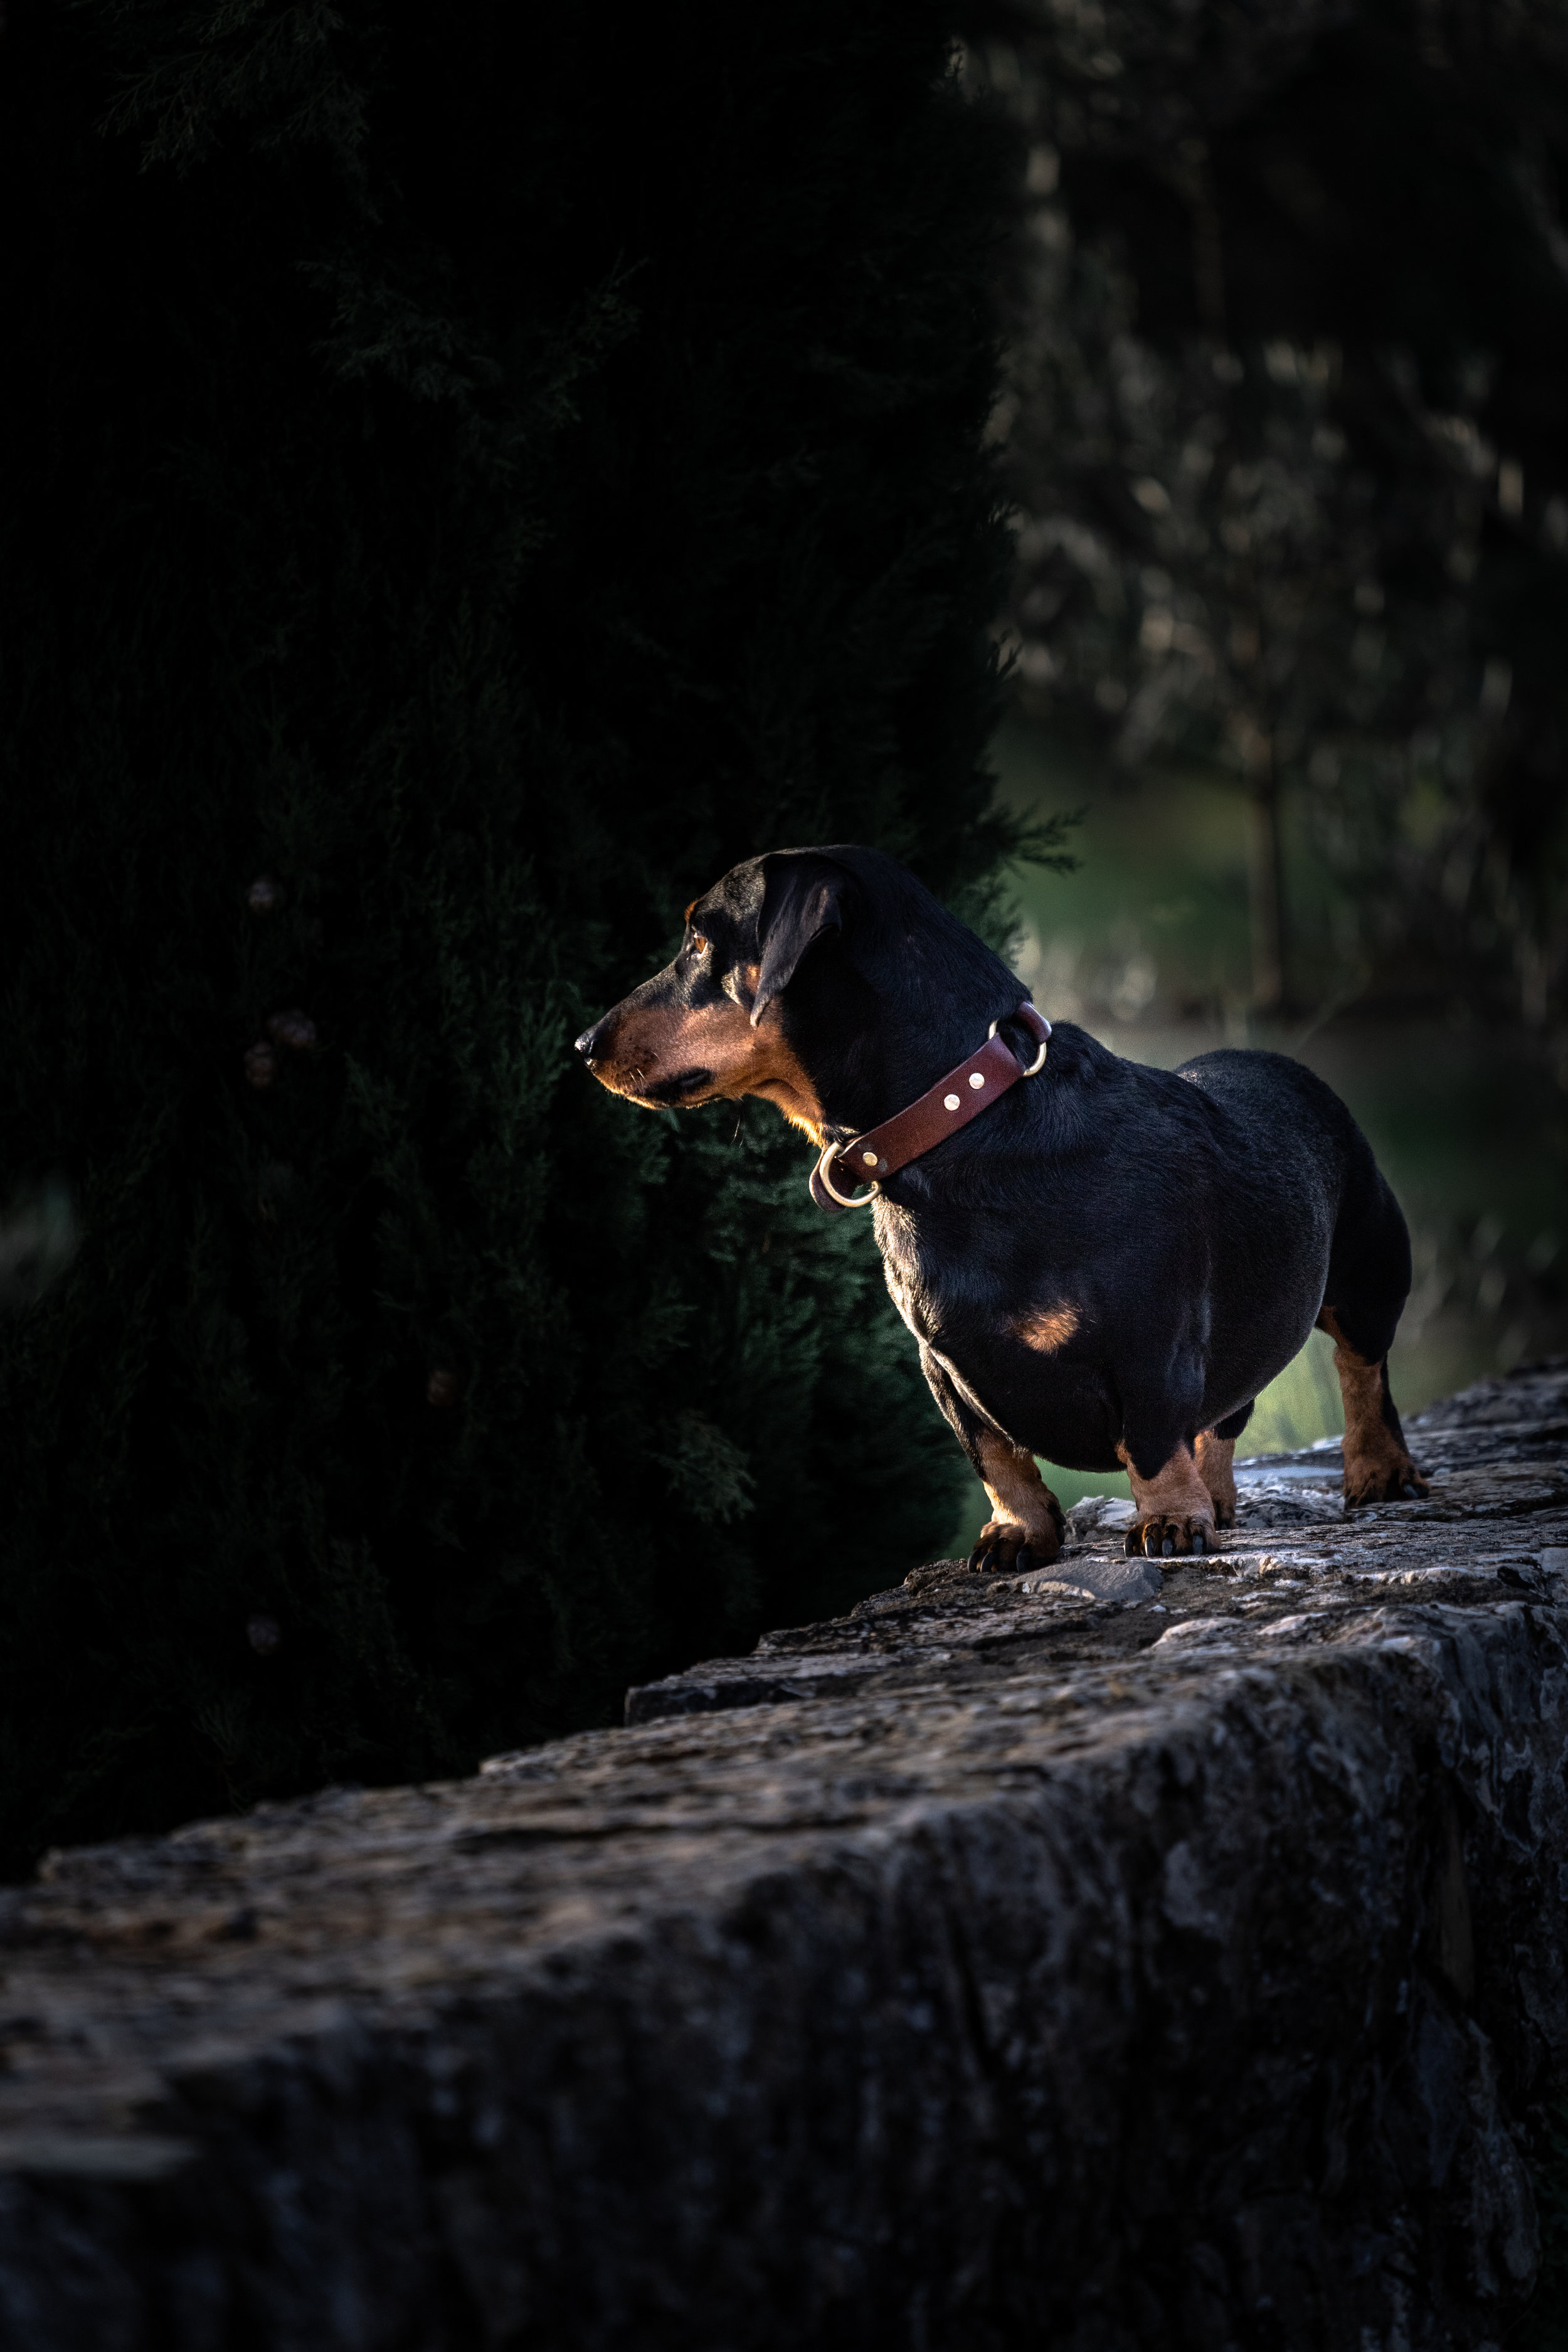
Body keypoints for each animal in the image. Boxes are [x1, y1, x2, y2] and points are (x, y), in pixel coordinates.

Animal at [573, 847, 1419, 1562]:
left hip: (1368, 1275)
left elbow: (1153, 1439)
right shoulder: (943, 1365)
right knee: (1225, 1420)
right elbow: (993, 1456)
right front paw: (1020, 1532)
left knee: (1362, 1369)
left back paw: (1376, 1471)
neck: (968, 1122)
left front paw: (1170, 1521)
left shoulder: (1152, 1344)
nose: (582, 1046)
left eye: (699, 940)